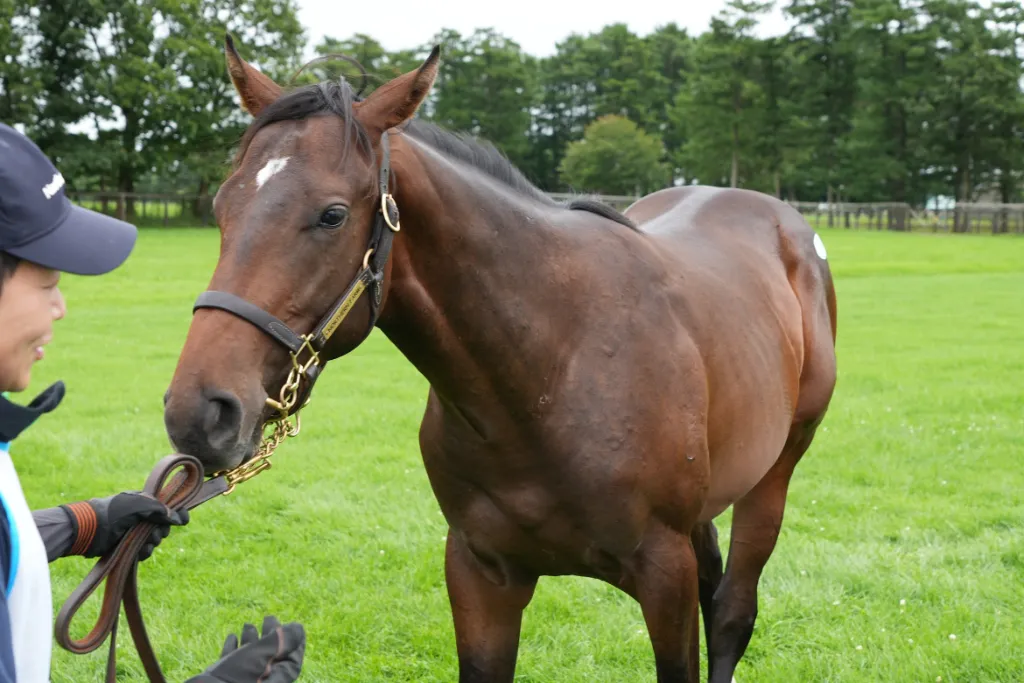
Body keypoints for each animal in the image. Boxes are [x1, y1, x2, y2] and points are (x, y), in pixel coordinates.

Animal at [163, 36, 838, 683]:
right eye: (223, 207)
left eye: (332, 215)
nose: (200, 412)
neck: (551, 371)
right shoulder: (479, 572)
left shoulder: (662, 574)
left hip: (774, 476)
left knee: (731, 613)